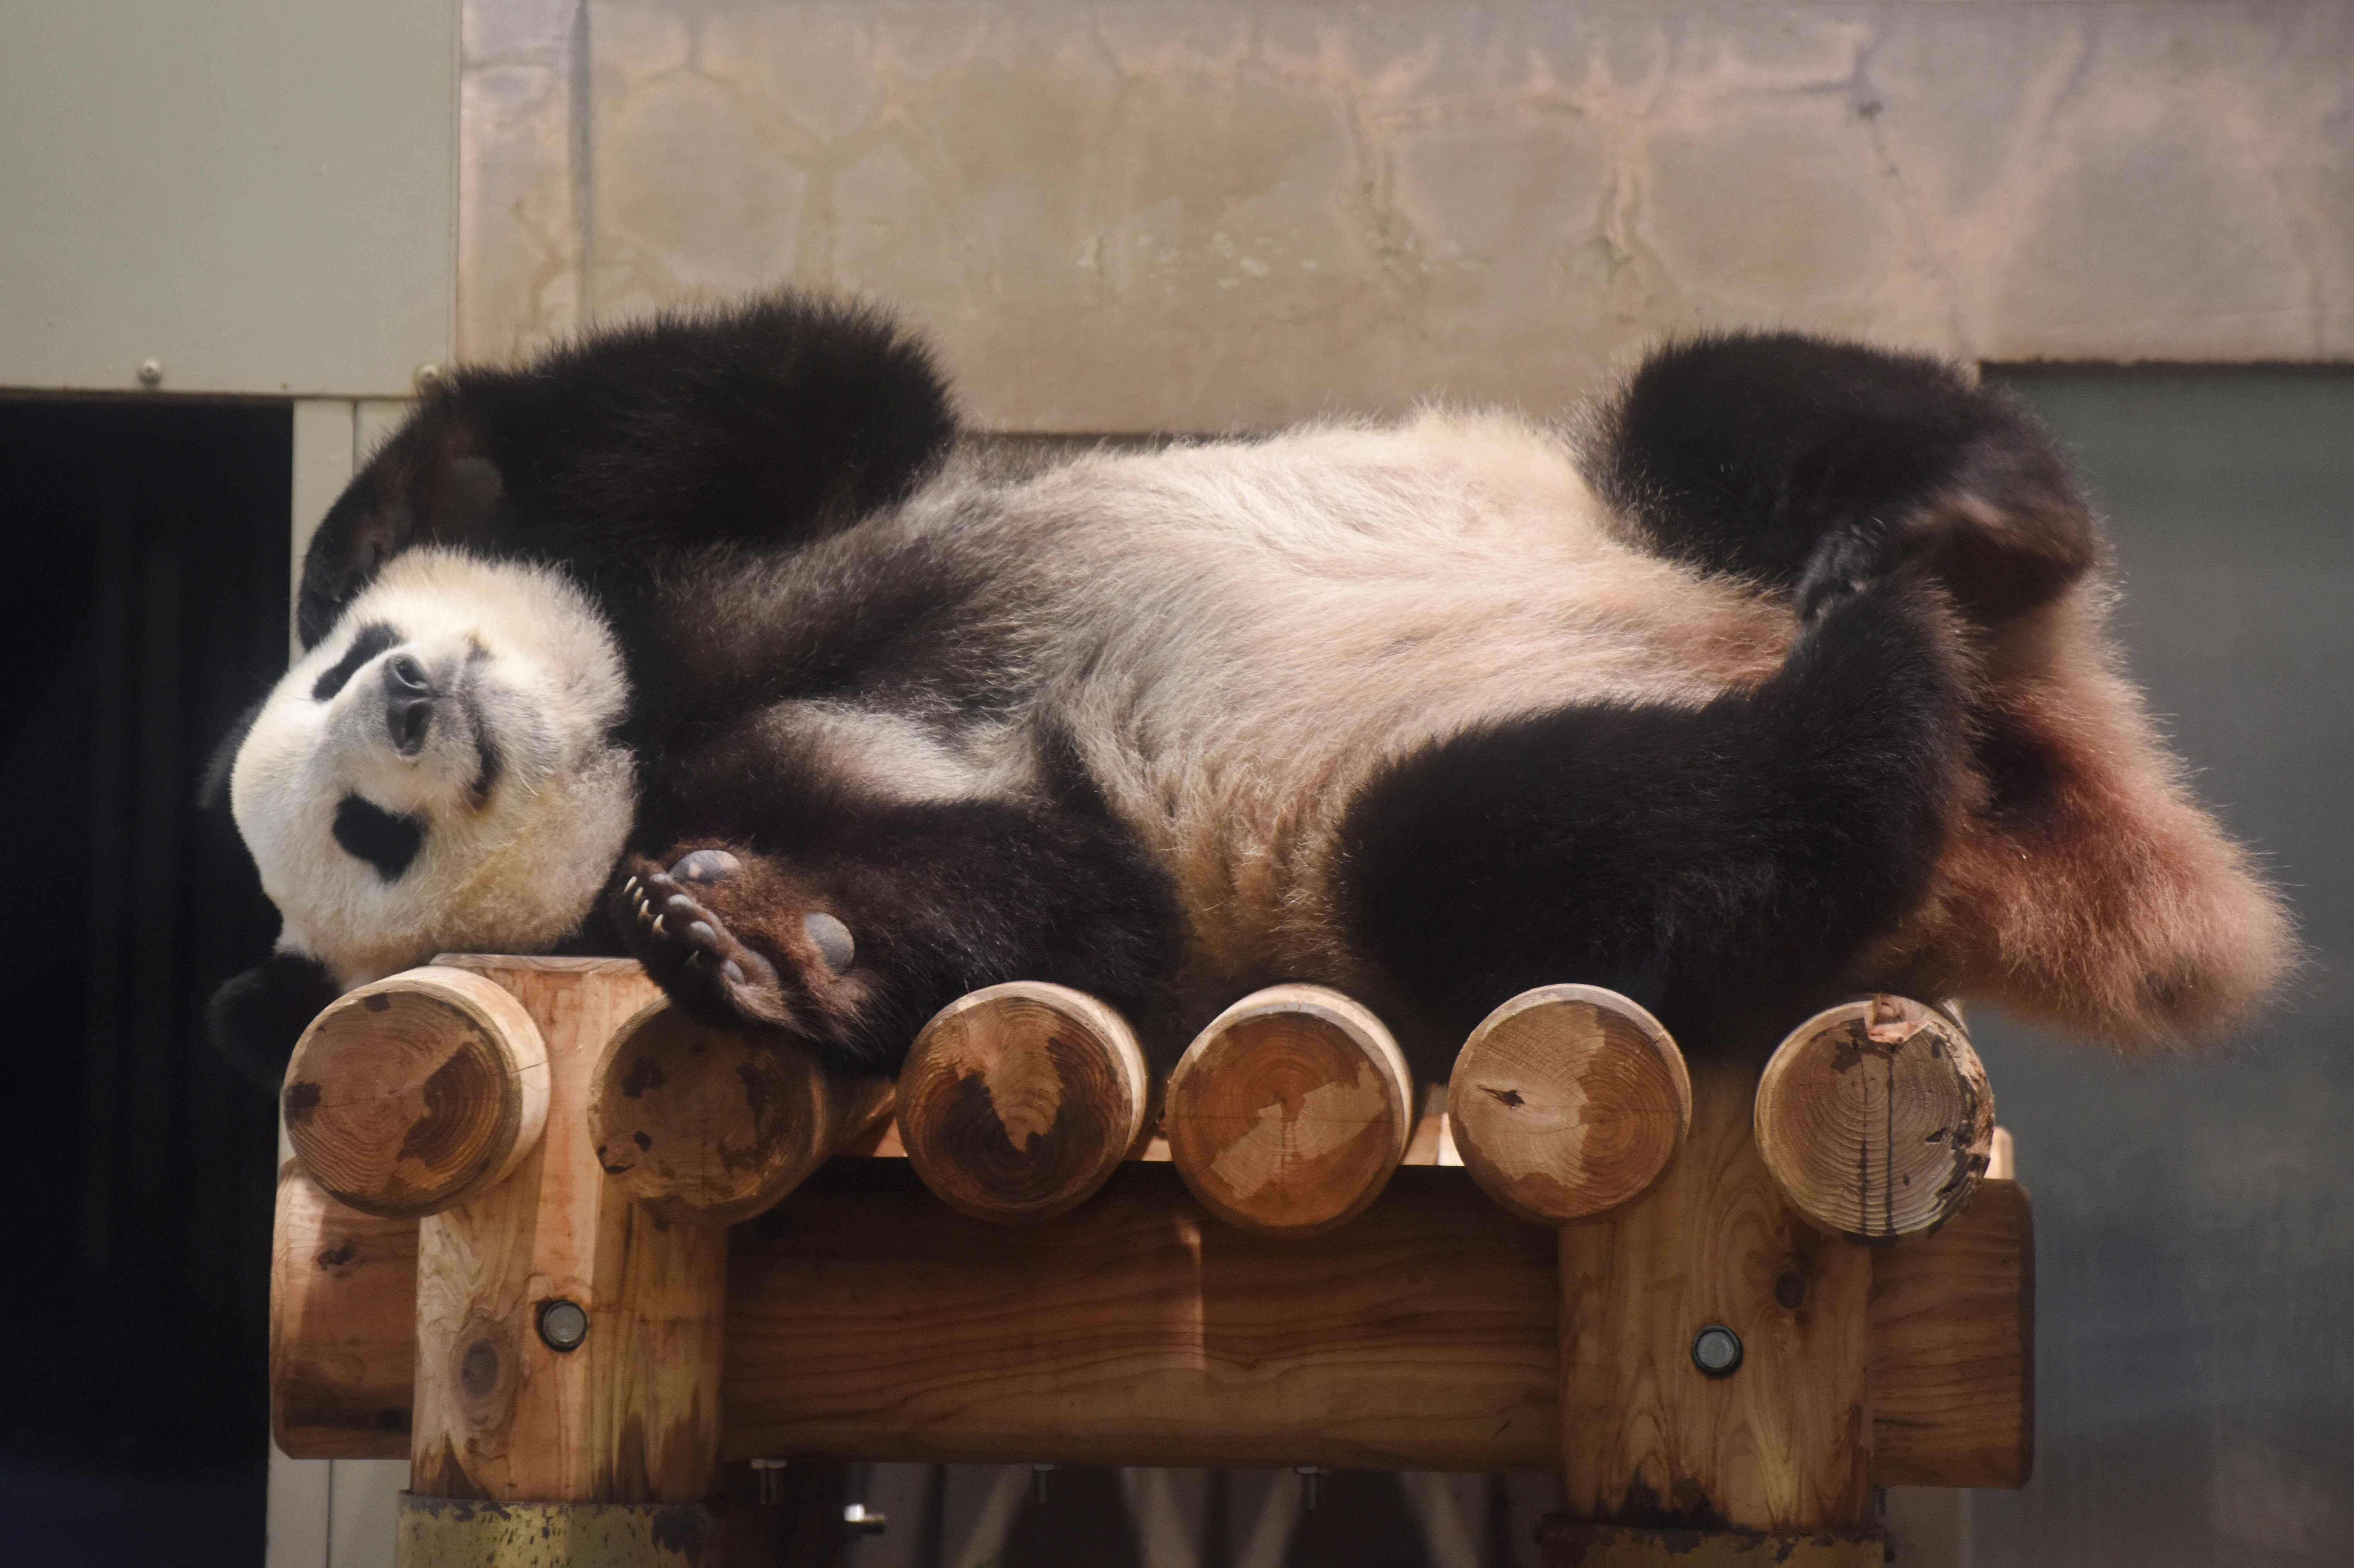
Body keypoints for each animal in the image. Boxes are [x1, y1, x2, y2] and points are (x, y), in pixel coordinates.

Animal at [209, 292, 2293, 1087]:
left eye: (342, 674)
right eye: (368, 833)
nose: (413, 693)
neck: (658, 725)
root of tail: (2053, 781)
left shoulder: (765, 541)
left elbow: (793, 388)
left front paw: (392, 506)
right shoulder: (812, 787)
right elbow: (1078, 903)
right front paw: (761, 954)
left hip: (1631, 490)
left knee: (1729, 411)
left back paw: (1963, 526)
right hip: (1410, 867)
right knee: (1536, 849)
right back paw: (1872, 689)